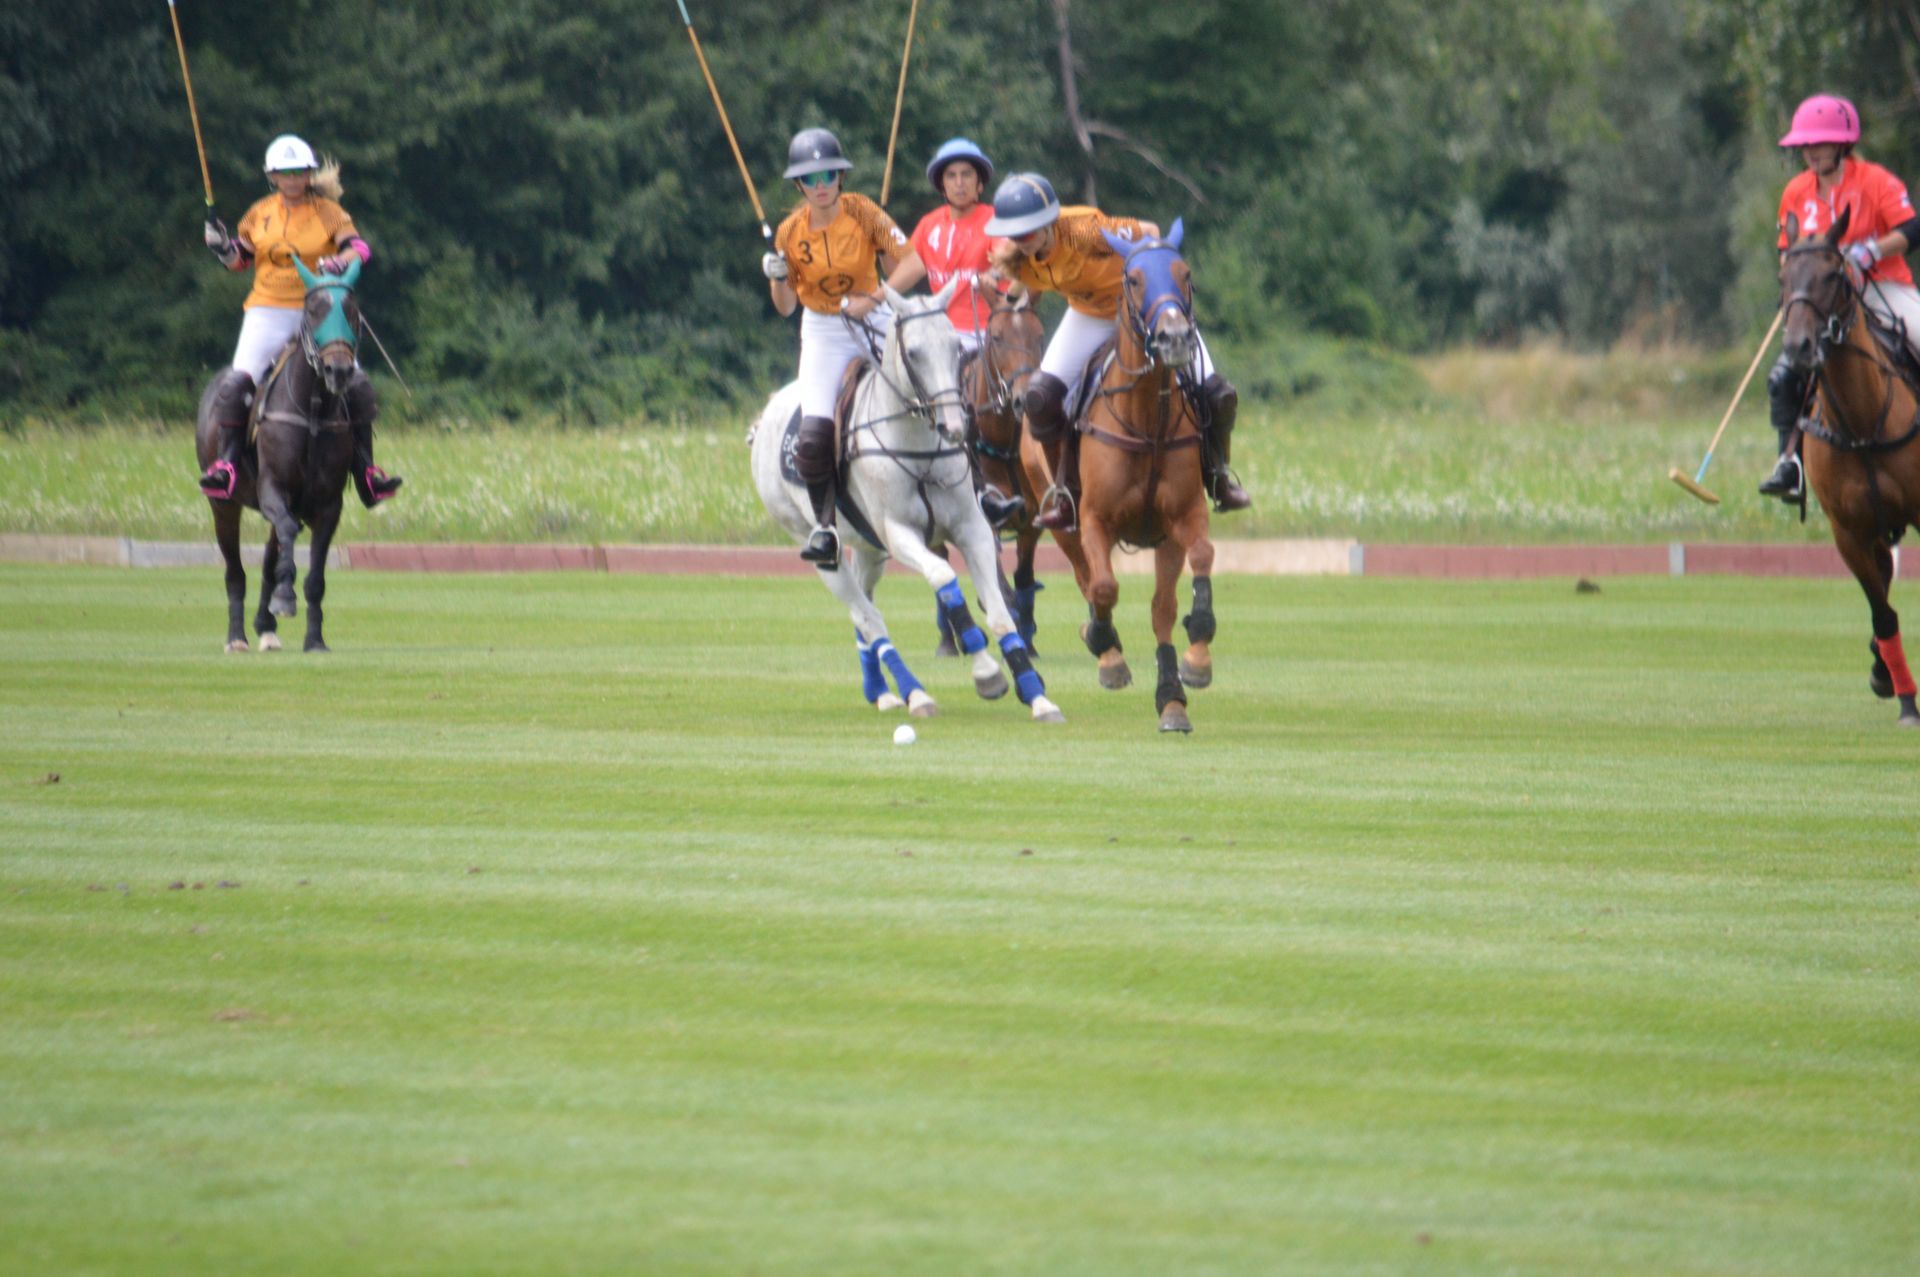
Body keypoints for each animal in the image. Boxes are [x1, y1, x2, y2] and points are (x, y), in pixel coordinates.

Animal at [194, 256, 365, 654]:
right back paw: (237, 637)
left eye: (352, 310)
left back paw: (265, 626)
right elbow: (285, 538)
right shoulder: (273, 488)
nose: (339, 370)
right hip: (223, 504)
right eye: (314, 311)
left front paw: (315, 639)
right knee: (235, 571)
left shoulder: (328, 505)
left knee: (271, 555)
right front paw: (286, 598)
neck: (313, 409)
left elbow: (315, 576)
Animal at [749, 281, 1066, 725]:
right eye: (913, 352)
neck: (920, 447)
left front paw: (1037, 695)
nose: (955, 426)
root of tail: (765, 416)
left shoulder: (973, 528)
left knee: (863, 608)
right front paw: (987, 674)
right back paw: (915, 693)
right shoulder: (901, 534)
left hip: (868, 547)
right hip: (818, 544)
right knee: (868, 616)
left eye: (956, 346)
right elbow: (944, 580)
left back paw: (882, 692)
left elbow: (1001, 611)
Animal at [1019, 220, 1217, 733]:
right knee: (1086, 576)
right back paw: (1102, 645)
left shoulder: (1181, 520)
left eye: (1185, 273)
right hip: (1058, 516)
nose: (1175, 338)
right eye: (1133, 279)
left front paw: (1189, 672)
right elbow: (1104, 587)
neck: (1148, 417)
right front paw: (1105, 648)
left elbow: (1185, 580)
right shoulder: (1094, 519)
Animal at [1779, 208, 1920, 726]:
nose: (1797, 348)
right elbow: (1883, 612)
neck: (1862, 422)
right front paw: (1901, 695)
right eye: (1783, 278)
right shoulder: (1849, 531)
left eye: (1835, 275)